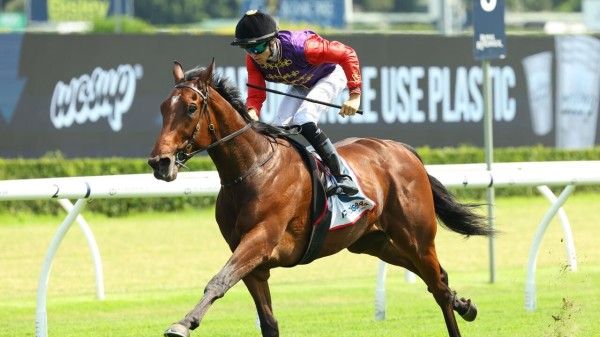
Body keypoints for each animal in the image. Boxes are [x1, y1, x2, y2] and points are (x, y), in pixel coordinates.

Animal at [148, 60, 494, 336]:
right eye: (163, 107)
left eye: (191, 107)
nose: (159, 162)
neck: (252, 169)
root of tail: (403, 150)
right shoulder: (252, 262)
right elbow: (268, 322)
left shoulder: (260, 240)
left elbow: (218, 281)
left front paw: (183, 323)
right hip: (372, 241)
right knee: (438, 278)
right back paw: (466, 305)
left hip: (417, 237)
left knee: (437, 286)